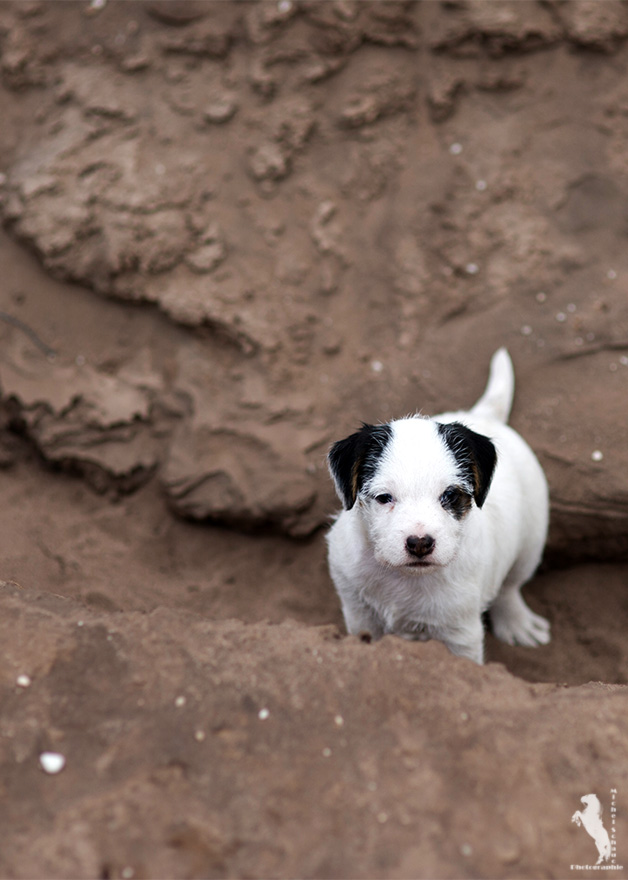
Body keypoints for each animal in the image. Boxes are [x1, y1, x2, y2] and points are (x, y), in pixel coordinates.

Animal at [328, 348, 548, 664]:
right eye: (384, 497)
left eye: (451, 496)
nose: (420, 542)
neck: (405, 577)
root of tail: (481, 416)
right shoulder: (359, 612)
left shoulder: (459, 633)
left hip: (530, 542)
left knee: (509, 587)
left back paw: (517, 622)